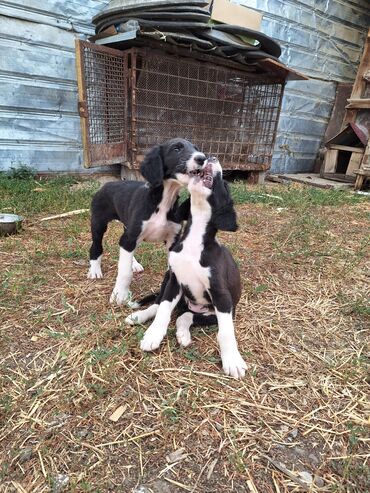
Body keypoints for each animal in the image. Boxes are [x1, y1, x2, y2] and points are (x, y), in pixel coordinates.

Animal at [88, 135, 207, 304]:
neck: (164, 201)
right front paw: (120, 294)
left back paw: (134, 264)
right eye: (176, 148)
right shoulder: (130, 237)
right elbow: (124, 271)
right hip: (99, 223)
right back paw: (95, 269)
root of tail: (107, 184)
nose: (202, 158)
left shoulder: (173, 240)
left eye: (196, 148)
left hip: (127, 228)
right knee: (96, 245)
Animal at [125, 156, 247, 378]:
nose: (213, 157)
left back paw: (183, 333)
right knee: (159, 304)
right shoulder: (175, 281)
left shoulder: (222, 296)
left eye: (225, 185)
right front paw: (153, 335)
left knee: (185, 315)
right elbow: (163, 309)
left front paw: (232, 360)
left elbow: (226, 332)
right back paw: (139, 316)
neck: (193, 241)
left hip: (210, 313)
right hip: (167, 279)